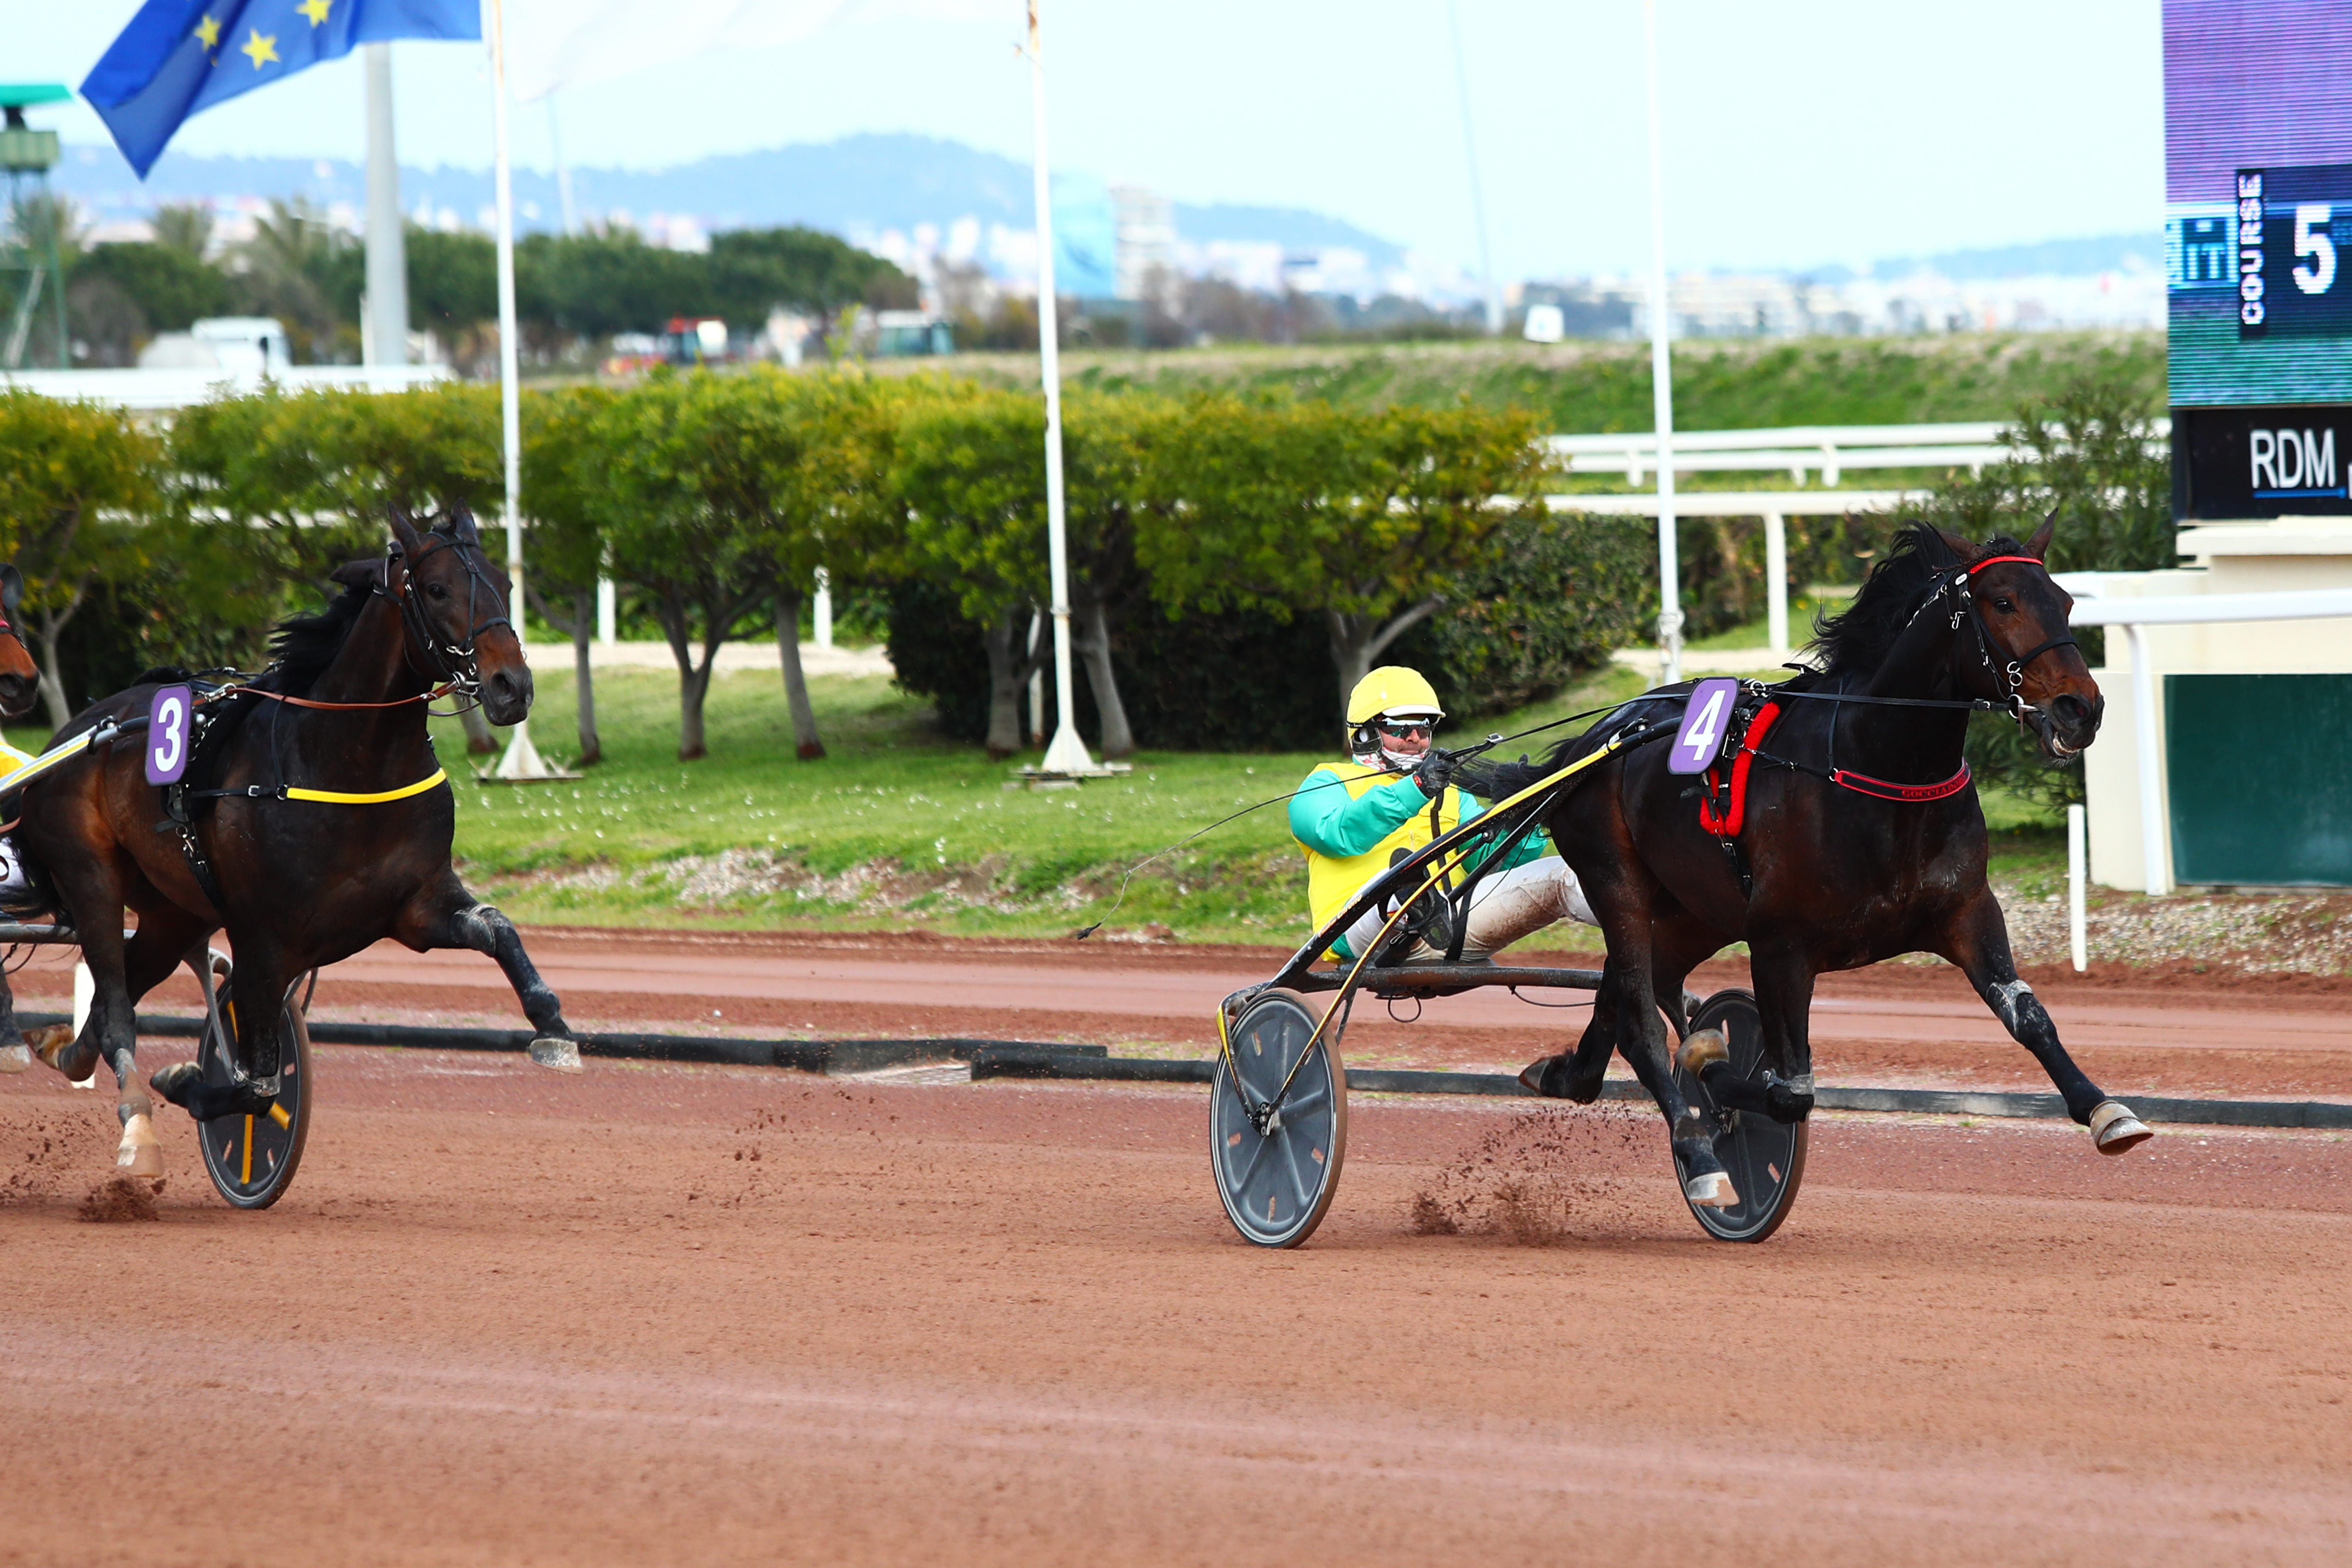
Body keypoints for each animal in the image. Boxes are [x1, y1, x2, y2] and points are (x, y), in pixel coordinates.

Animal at [17, 510, 579, 1185]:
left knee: (107, 1005)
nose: (510, 686)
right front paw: (184, 1080)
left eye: (506, 583)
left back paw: (63, 1049)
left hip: (172, 914)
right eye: (438, 589)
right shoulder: (262, 937)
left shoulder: (415, 905)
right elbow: (257, 1085)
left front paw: (553, 1026)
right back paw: (137, 1128)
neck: (346, 761)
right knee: (118, 1005)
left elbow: (498, 928)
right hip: (91, 873)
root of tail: (72, 734)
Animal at [1486, 522, 2154, 1213]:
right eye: (2004, 603)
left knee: (1629, 992)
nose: (2081, 708)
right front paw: (1712, 1074)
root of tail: (1594, 739)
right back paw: (1699, 1151)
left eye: (2066, 602)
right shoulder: (1779, 944)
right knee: (1642, 1022)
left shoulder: (1968, 911)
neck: (1877, 767)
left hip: (1697, 912)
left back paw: (1573, 1071)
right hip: (1616, 880)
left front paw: (2105, 1109)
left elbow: (2030, 1015)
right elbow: (1790, 1091)